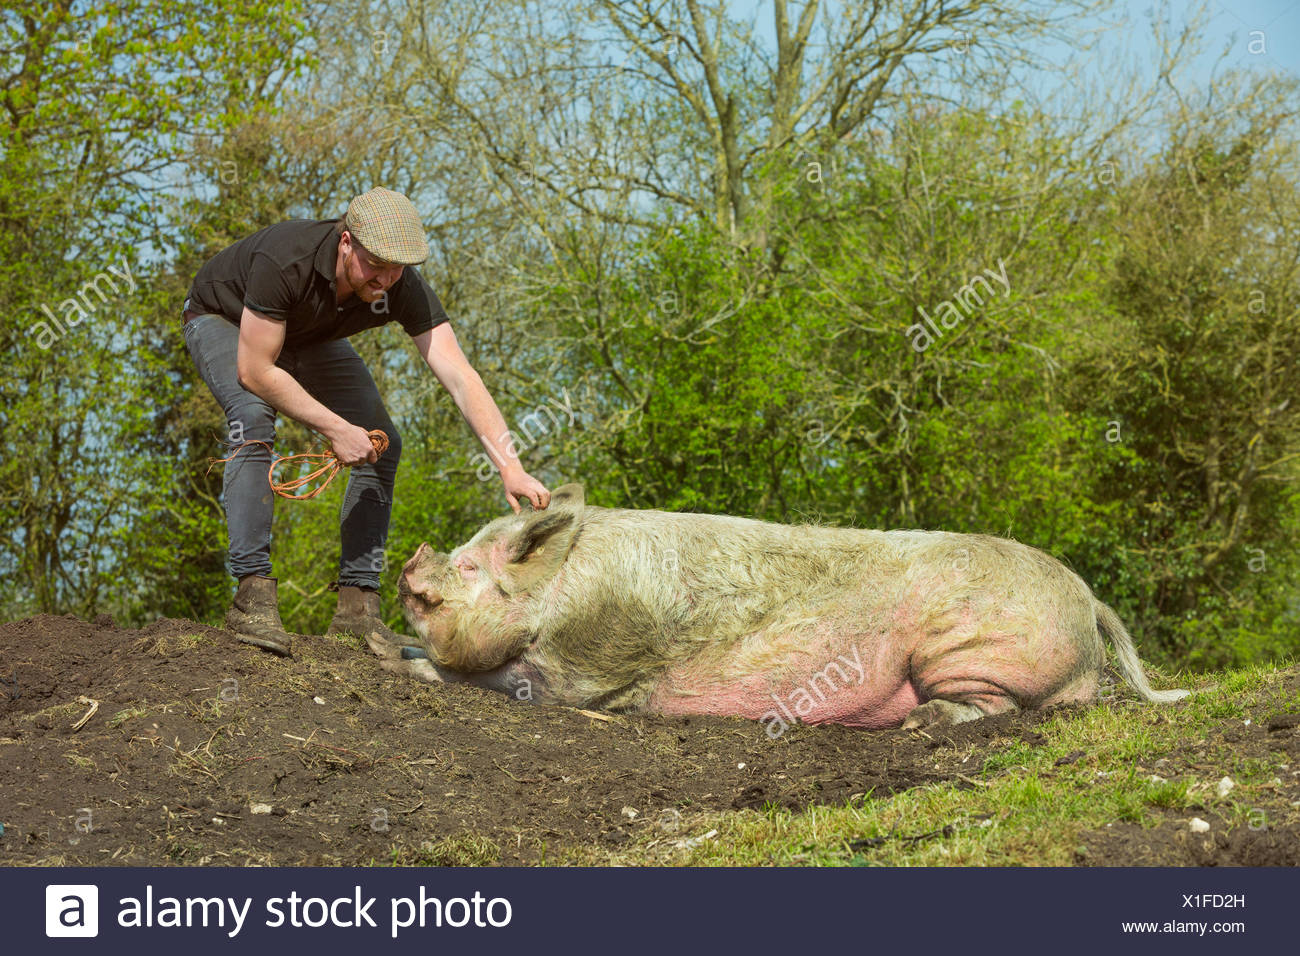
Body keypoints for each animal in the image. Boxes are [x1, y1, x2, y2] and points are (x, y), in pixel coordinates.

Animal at [369, 483, 1187, 733]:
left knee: (1000, 706)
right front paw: (384, 648)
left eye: (468, 565)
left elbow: (487, 680)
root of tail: (1088, 600)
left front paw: (399, 662)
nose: (411, 565)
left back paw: (921, 725)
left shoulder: (589, 671)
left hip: (967, 649)